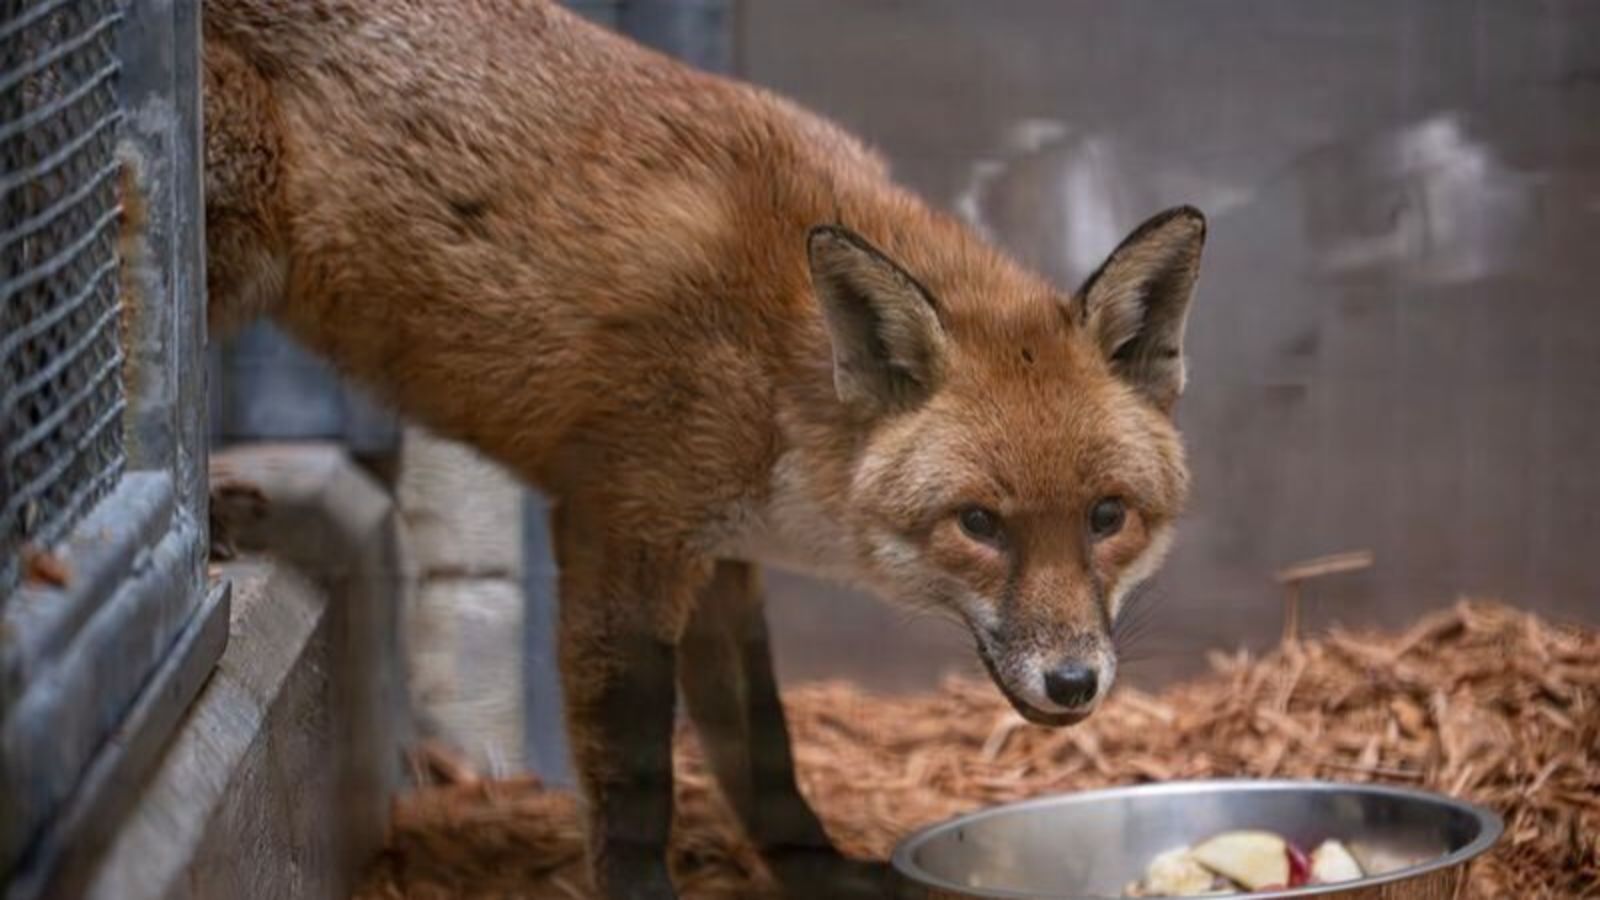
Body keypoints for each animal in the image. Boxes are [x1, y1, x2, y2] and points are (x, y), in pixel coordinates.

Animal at [200, 0, 1205, 896]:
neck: (777, 373)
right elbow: (638, 775)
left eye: (1108, 516)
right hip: (234, 233)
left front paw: (821, 873)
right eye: (980, 524)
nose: (1074, 684)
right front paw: (644, 889)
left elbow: (762, 750)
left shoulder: (723, 558)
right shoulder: (620, 530)